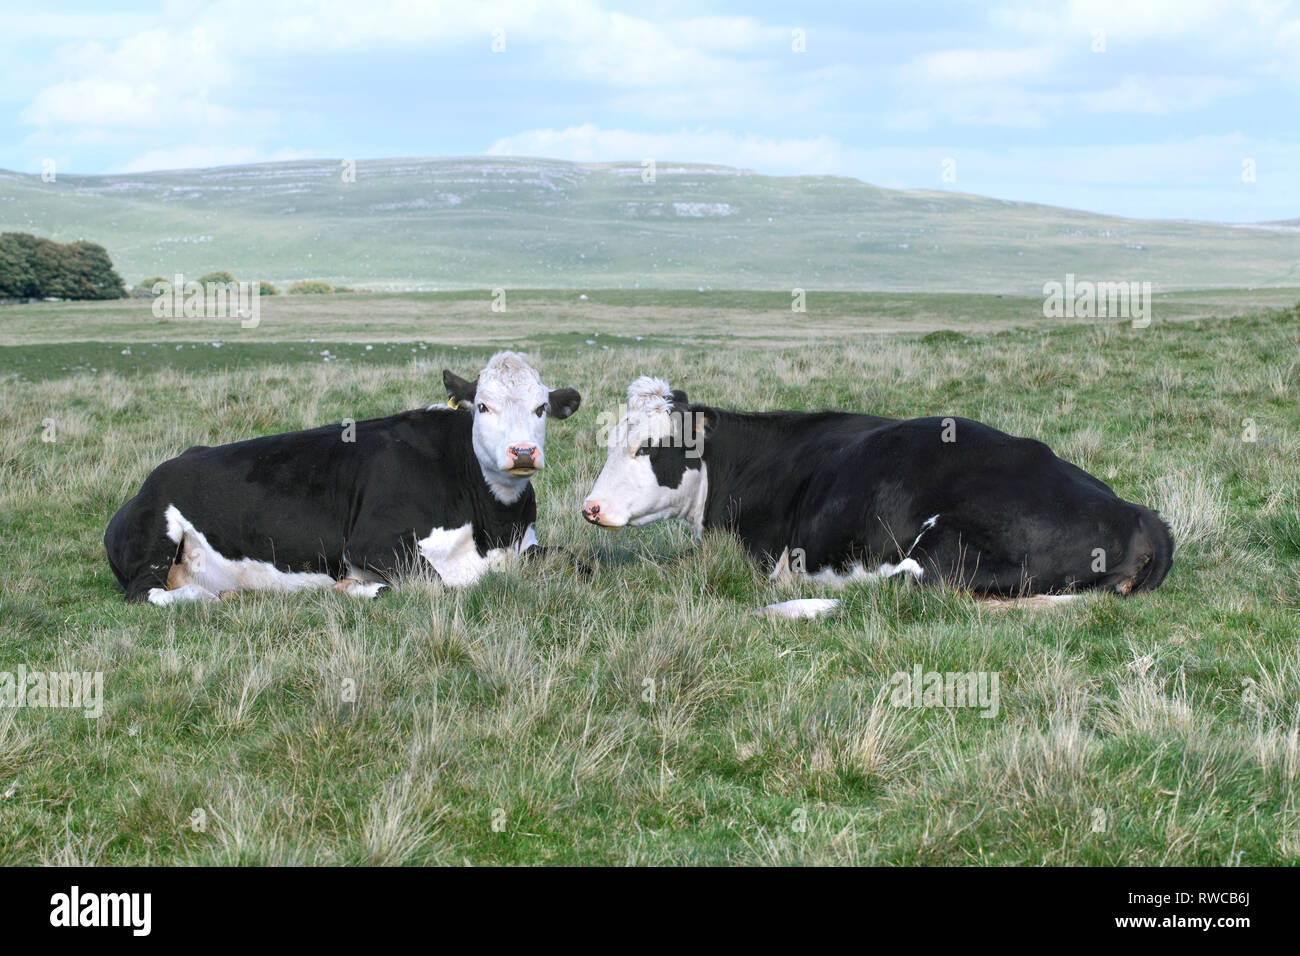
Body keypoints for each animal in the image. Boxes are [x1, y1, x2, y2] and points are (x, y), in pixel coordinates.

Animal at [104, 351, 582, 606]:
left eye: (541, 408)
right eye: (482, 406)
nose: (523, 451)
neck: (494, 527)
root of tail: (152, 479)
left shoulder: (527, 544)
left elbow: (578, 562)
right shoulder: (373, 543)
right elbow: (438, 584)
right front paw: (357, 587)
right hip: (155, 538)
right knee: (145, 592)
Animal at [585, 377, 1175, 616]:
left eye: (647, 447)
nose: (590, 508)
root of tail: (1140, 515)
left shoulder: (748, 553)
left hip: (946, 552)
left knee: (906, 591)